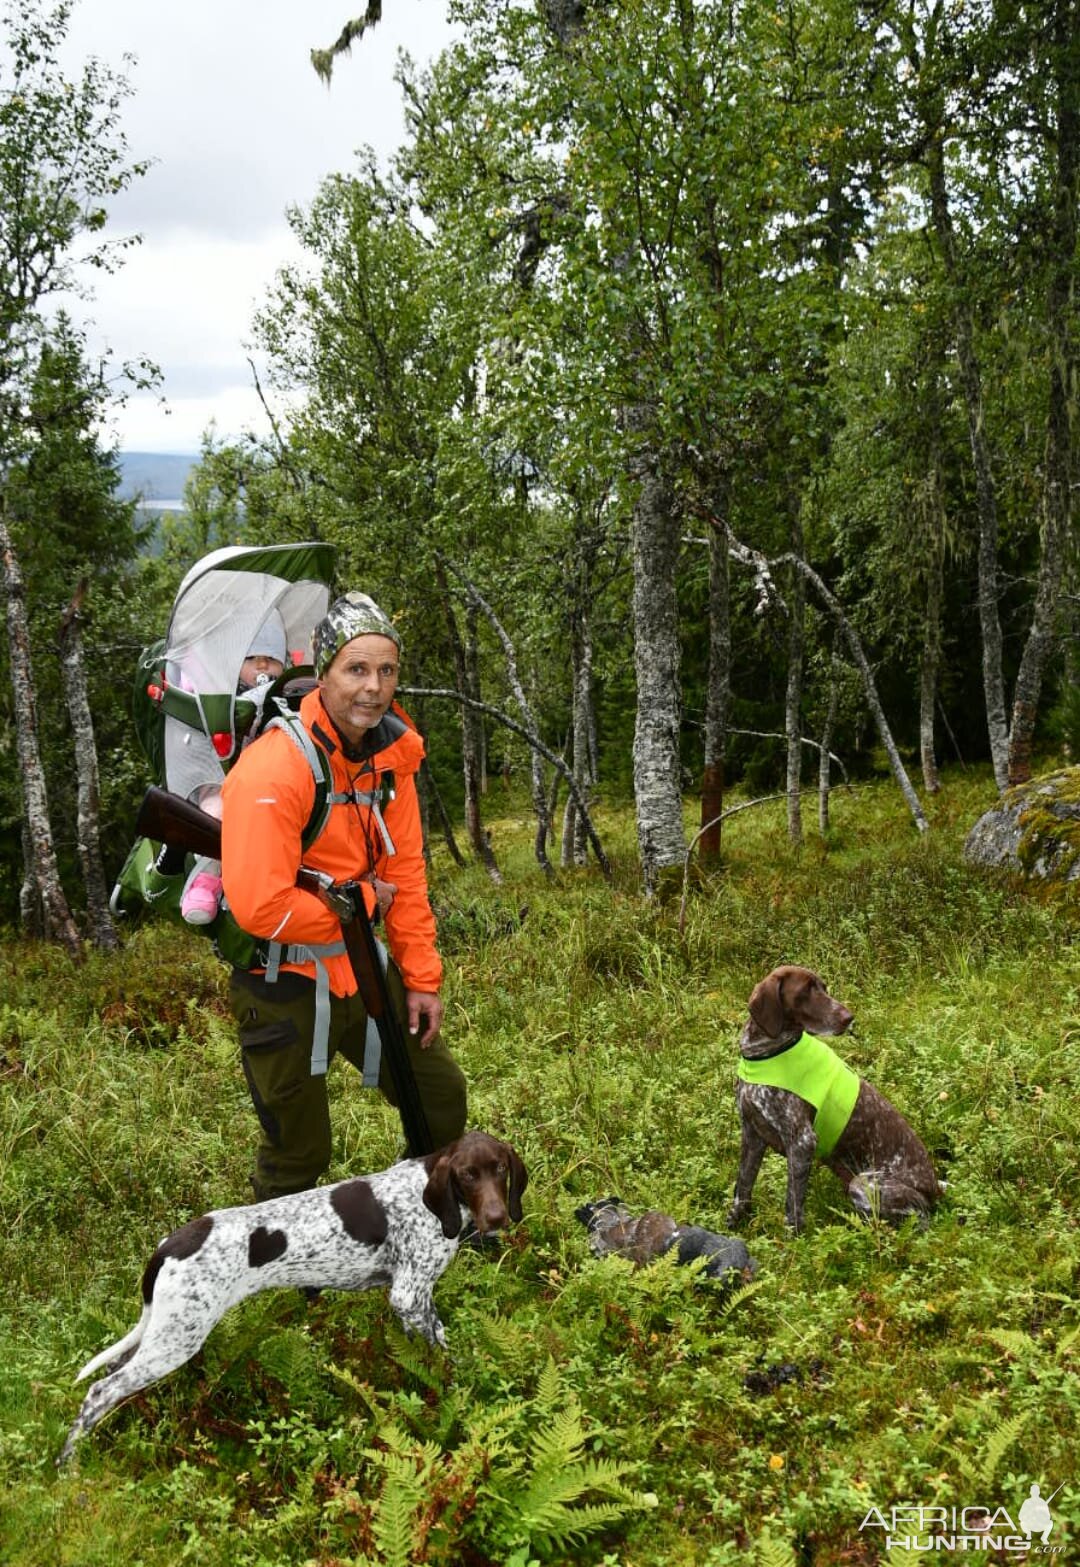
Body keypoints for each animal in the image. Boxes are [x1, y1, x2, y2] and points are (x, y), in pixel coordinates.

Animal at [61, 1134, 523, 1460]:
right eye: (467, 1174)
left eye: (499, 1168)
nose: (497, 1218)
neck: (429, 1197)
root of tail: (168, 1245)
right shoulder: (408, 1295)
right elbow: (440, 1354)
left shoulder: (416, 1300)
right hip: (177, 1339)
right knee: (99, 1391)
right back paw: (70, 1465)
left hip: (160, 1333)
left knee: (113, 1375)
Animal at [727, 965, 940, 1234]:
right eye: (806, 991)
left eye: (823, 988)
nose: (849, 1017)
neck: (765, 1054)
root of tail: (936, 1188)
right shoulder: (752, 1133)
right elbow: (742, 1187)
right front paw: (732, 1227)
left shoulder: (802, 1141)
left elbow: (792, 1206)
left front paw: (793, 1241)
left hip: (864, 1185)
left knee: (919, 1217)